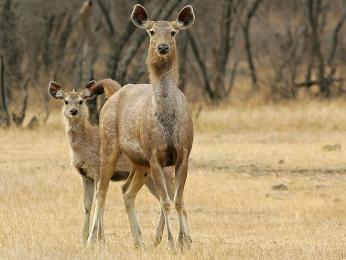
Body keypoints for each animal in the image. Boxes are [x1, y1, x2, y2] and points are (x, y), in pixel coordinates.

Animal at [48, 79, 173, 244]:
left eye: (81, 101)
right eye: (65, 101)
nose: (73, 111)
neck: (85, 144)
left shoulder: (97, 169)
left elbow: (99, 200)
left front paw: (99, 238)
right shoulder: (85, 175)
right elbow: (87, 204)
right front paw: (84, 237)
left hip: (163, 172)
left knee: (169, 197)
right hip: (149, 177)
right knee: (162, 198)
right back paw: (156, 239)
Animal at [88, 4, 196, 248]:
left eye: (174, 32)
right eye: (151, 31)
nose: (162, 47)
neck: (168, 123)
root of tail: (115, 92)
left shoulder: (184, 154)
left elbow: (179, 200)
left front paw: (185, 242)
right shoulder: (155, 155)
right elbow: (166, 201)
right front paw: (172, 243)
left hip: (139, 161)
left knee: (126, 190)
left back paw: (139, 241)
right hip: (109, 146)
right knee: (102, 189)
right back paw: (92, 240)